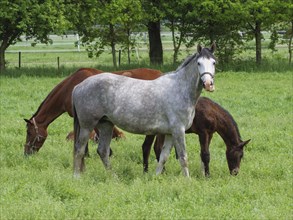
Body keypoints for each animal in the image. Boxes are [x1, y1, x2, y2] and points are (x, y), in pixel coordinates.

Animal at [72, 42, 216, 177]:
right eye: (199, 63)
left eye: (214, 62)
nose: (208, 84)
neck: (179, 89)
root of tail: (79, 86)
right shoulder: (178, 131)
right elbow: (183, 157)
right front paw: (187, 180)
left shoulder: (170, 133)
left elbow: (163, 157)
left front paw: (155, 177)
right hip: (87, 126)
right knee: (79, 149)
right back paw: (77, 177)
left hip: (106, 124)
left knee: (103, 151)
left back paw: (114, 177)